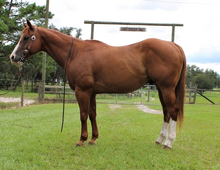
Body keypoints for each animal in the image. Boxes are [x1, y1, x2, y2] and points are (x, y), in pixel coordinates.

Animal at [9, 20, 186, 149]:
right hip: (160, 88)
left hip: (166, 88)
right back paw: (160, 139)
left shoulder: (82, 91)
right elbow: (92, 114)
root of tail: (174, 45)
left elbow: (83, 114)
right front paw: (93, 139)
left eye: (26, 37)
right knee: (166, 111)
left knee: (173, 110)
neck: (75, 53)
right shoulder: (92, 92)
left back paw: (168, 142)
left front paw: (81, 139)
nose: (13, 57)